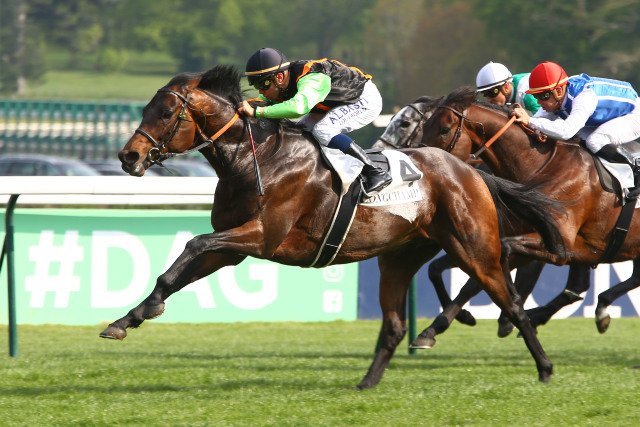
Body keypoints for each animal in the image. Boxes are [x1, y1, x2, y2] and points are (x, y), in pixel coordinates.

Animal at [101, 66, 564, 388]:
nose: (128, 157)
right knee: (394, 326)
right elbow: (177, 269)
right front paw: (128, 319)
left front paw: (139, 313)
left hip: (476, 249)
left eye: (165, 111)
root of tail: (470, 171)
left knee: (513, 304)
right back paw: (367, 382)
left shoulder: (262, 236)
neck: (254, 157)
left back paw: (544, 368)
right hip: (399, 258)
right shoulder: (232, 248)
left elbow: (194, 243)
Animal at [416, 85, 640, 342]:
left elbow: (476, 281)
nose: (424, 164)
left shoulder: (557, 245)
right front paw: (442, 325)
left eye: (444, 129)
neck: (541, 166)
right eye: (425, 125)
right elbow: (448, 272)